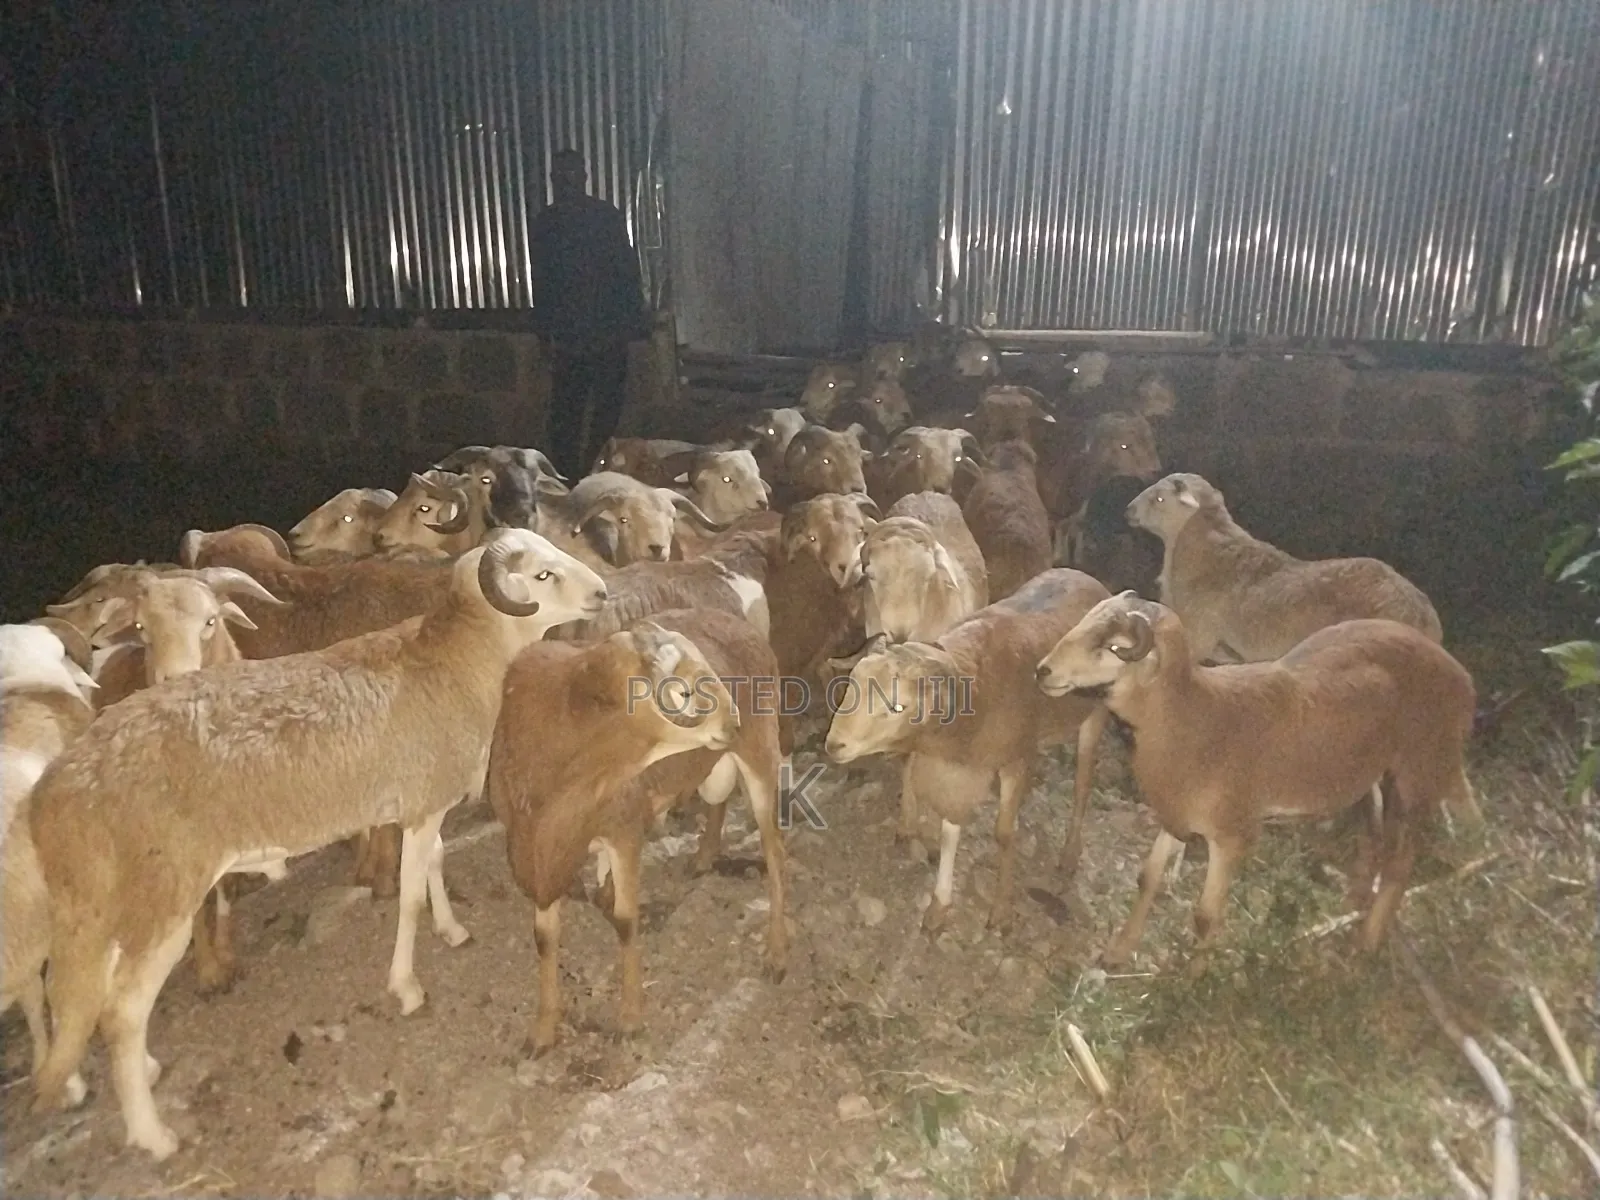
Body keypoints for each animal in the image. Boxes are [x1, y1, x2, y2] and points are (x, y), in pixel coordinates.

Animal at [26, 528, 609, 1160]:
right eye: (543, 574)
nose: (603, 592)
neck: (459, 659)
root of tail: (57, 792)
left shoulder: (422, 804)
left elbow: (434, 862)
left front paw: (452, 931)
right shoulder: (424, 800)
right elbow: (408, 897)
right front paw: (406, 988)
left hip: (112, 905)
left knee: (100, 1002)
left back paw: (148, 1073)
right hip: (166, 897)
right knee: (125, 1011)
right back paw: (153, 1135)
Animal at [487, 607, 788, 1054]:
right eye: (682, 689)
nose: (732, 720)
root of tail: (741, 623)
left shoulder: (624, 832)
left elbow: (626, 921)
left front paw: (629, 1018)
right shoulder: (541, 848)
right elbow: (544, 936)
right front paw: (542, 1030)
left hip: (761, 752)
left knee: (774, 851)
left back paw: (777, 953)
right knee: (717, 803)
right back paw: (703, 858)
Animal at [824, 569, 1111, 931]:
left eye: (897, 705)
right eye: (851, 684)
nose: (834, 744)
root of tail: (1086, 576)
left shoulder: (1014, 761)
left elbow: (1004, 834)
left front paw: (1000, 910)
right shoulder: (957, 770)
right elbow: (949, 833)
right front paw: (939, 906)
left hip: (1095, 715)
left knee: (1083, 783)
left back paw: (1070, 854)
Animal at [1034, 592, 1477, 972]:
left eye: (1111, 647)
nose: (1043, 670)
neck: (1193, 716)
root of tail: (1462, 678)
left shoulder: (1231, 835)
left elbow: (1206, 916)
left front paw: (1189, 981)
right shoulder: (1177, 812)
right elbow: (1148, 879)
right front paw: (1117, 953)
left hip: (1419, 774)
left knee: (1401, 864)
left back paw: (1365, 946)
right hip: (1376, 778)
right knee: (1377, 845)